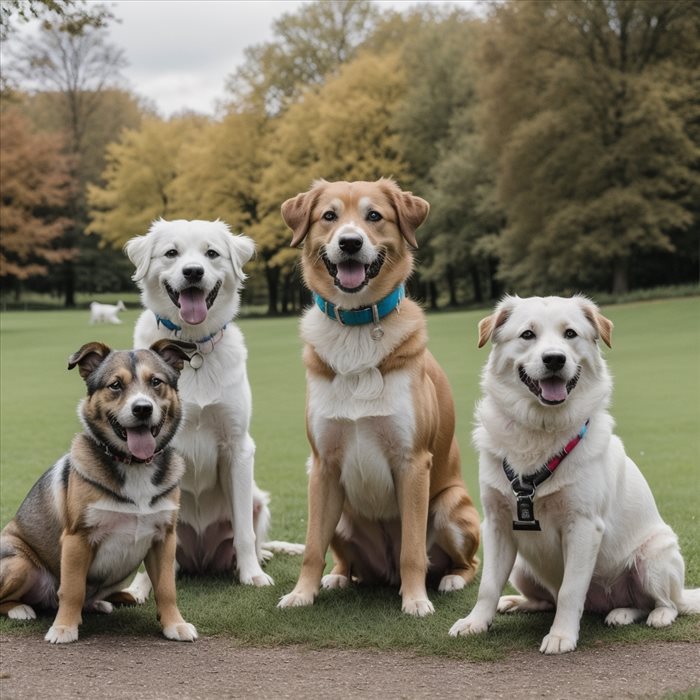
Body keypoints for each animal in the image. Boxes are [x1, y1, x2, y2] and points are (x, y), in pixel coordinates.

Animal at [0, 342, 197, 644]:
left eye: (156, 382)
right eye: (115, 385)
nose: (142, 408)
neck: (134, 465)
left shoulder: (164, 538)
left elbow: (166, 588)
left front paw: (175, 624)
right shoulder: (77, 538)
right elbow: (72, 589)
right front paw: (64, 628)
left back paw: (99, 604)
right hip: (19, 563)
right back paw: (20, 609)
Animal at [125, 219, 298, 592]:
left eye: (212, 253)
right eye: (171, 253)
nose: (193, 272)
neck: (191, 352)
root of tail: (202, 559)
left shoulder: (237, 445)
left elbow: (245, 533)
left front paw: (252, 575)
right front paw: (138, 588)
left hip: (257, 500)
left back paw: (257, 559)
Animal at [278, 178, 482, 616]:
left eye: (375, 216)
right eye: (329, 216)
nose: (350, 243)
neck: (355, 328)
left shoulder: (413, 463)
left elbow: (412, 551)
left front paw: (416, 599)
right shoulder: (322, 466)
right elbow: (311, 547)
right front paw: (302, 593)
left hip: (450, 507)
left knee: (466, 562)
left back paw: (451, 580)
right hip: (340, 514)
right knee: (343, 558)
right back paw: (338, 577)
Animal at [448, 296, 700, 656]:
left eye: (570, 334)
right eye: (527, 334)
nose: (555, 359)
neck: (539, 431)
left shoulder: (583, 527)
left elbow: (570, 591)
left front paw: (561, 635)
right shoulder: (496, 524)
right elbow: (488, 585)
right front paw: (476, 622)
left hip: (652, 558)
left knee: (661, 603)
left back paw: (645, 614)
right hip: (523, 568)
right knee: (547, 600)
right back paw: (520, 602)